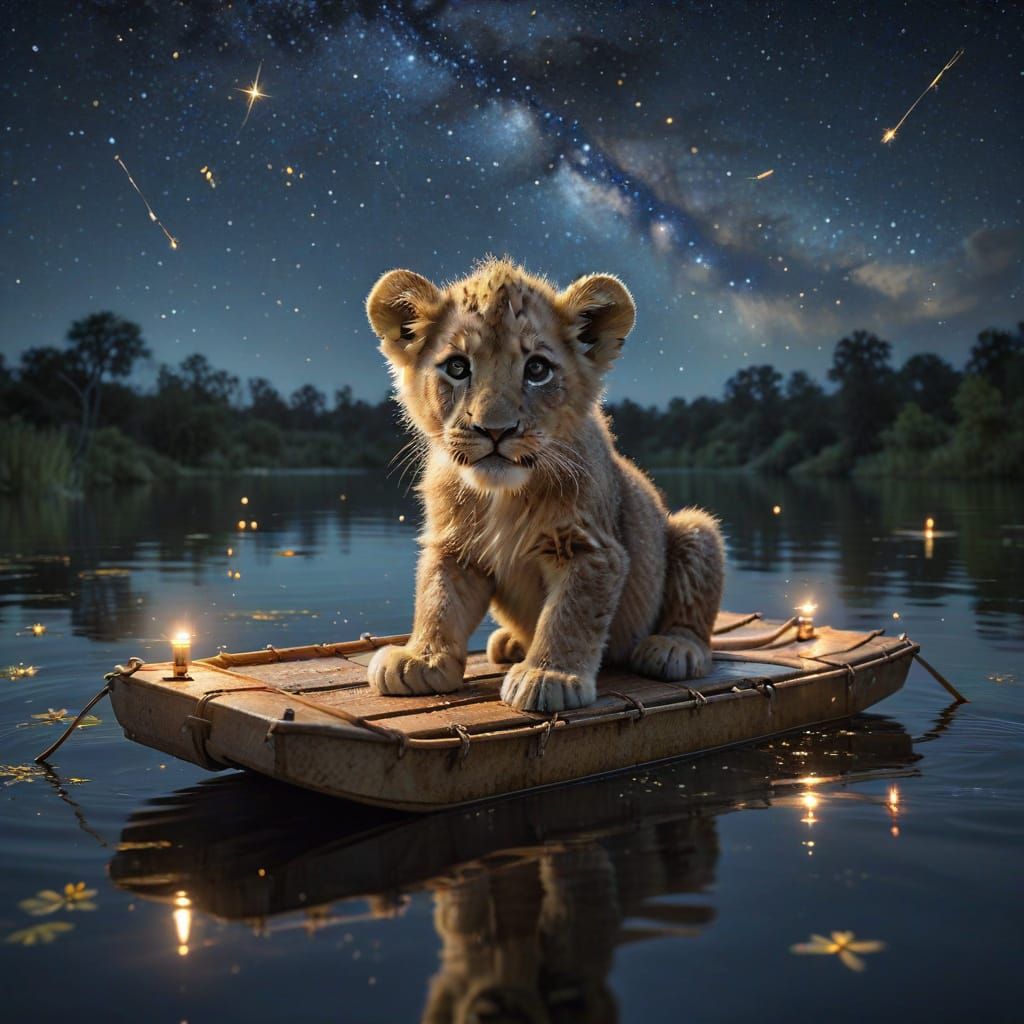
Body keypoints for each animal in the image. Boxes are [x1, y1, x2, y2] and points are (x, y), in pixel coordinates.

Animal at [364, 256, 724, 712]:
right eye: (457, 367)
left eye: (537, 369)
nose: (495, 430)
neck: (501, 494)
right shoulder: (453, 546)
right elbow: (438, 598)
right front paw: (420, 659)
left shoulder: (592, 548)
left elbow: (569, 616)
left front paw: (548, 676)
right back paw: (510, 643)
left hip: (694, 528)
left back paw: (673, 648)